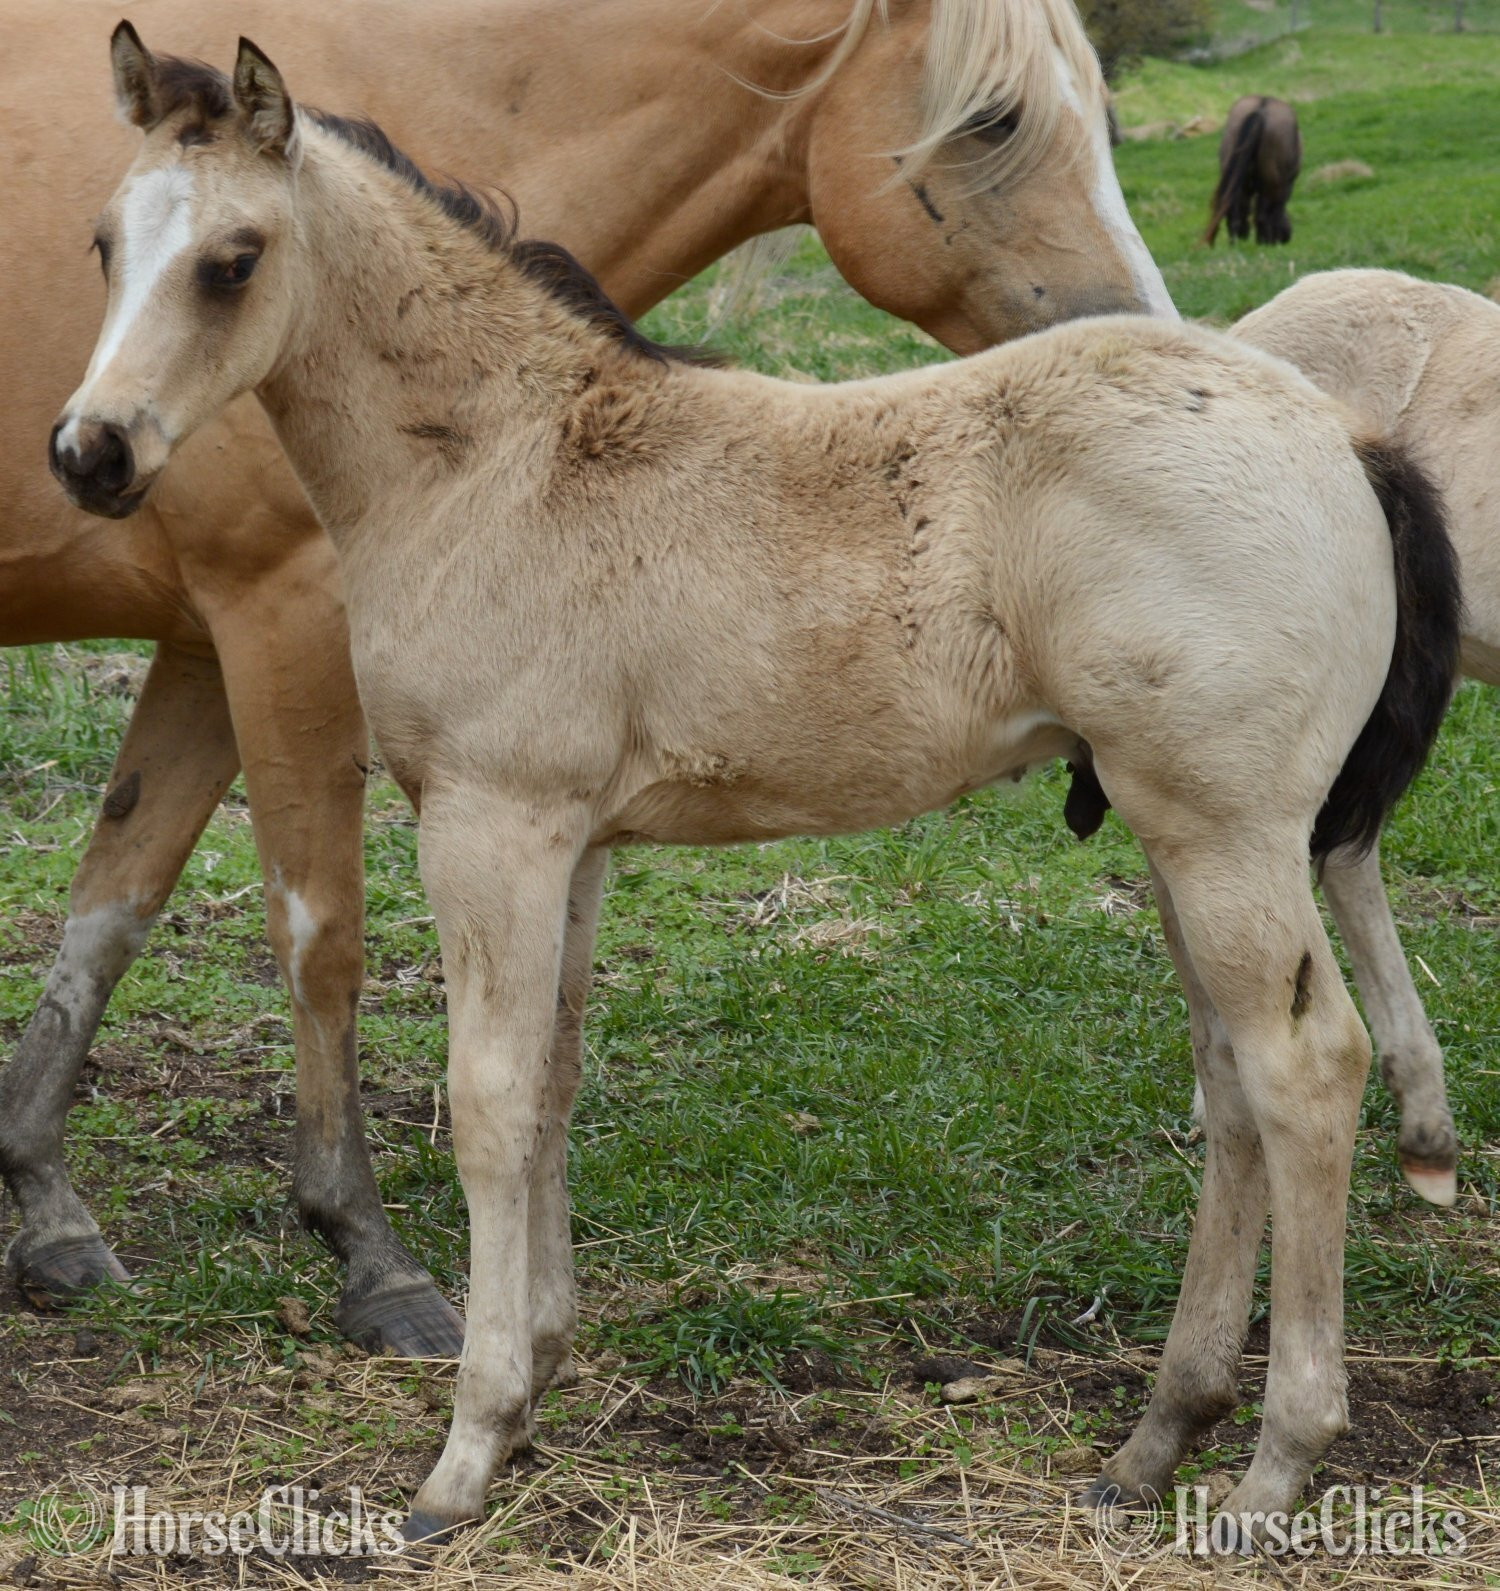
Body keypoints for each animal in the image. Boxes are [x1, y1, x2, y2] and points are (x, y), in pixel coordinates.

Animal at [0, 0, 1173, 1360]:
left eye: (231, 261)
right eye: (994, 119)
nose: (90, 454)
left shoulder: (212, 638)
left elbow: (120, 899)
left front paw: (50, 1205)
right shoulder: (274, 621)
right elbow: (315, 935)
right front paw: (373, 1258)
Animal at [1204, 94, 1301, 246]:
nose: (1287, 236)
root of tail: (1260, 109)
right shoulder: (1286, 185)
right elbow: (1275, 211)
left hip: (1239, 181)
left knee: (1236, 214)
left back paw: (1237, 243)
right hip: (1270, 181)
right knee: (1262, 215)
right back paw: (1263, 243)